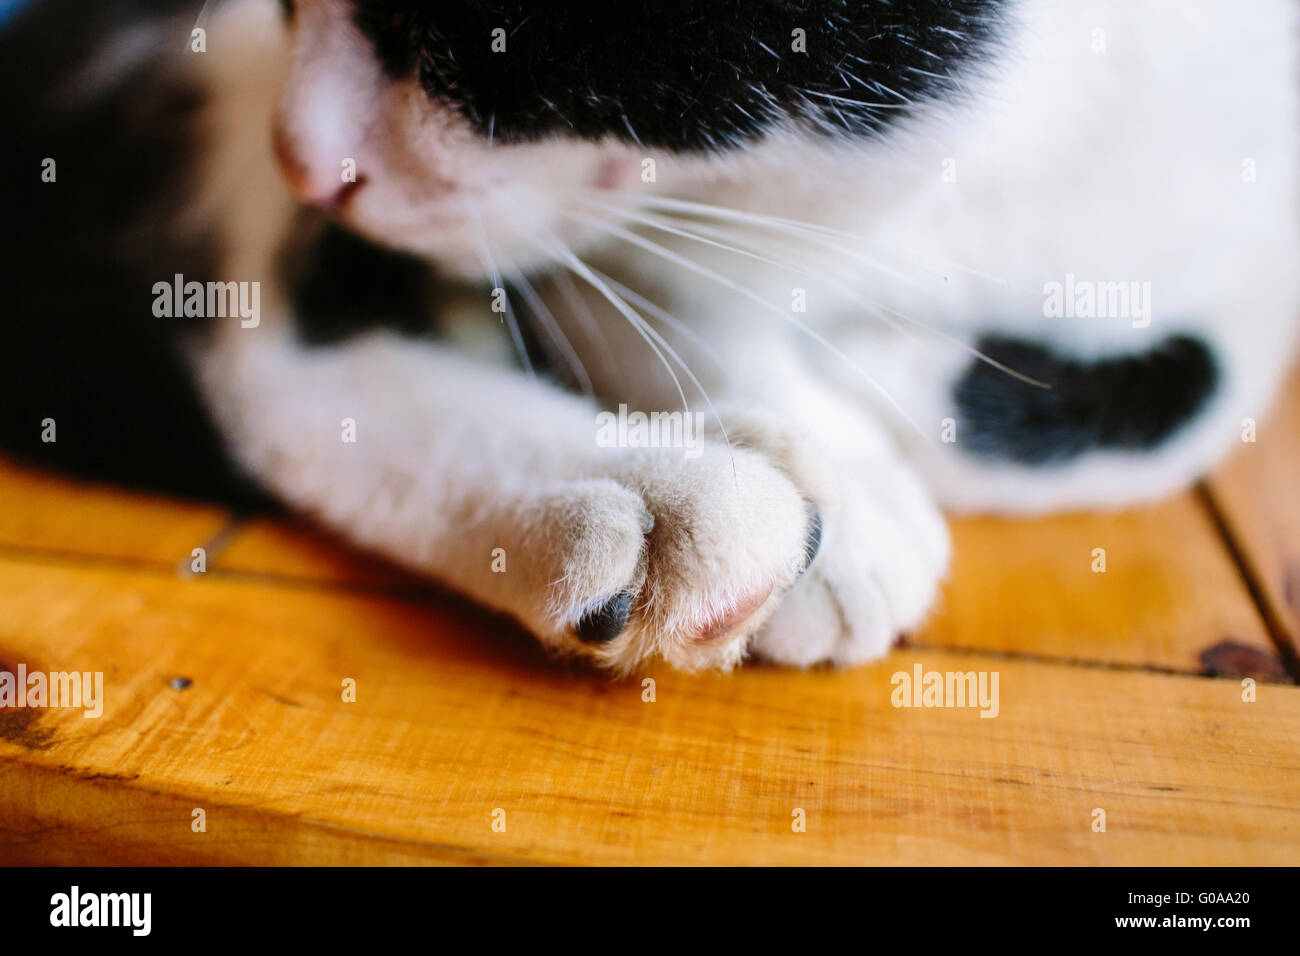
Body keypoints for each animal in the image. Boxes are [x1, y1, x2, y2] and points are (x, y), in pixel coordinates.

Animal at [0, 0, 1294, 671]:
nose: (304, 160)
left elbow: (1192, 389)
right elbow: (671, 291)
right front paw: (836, 463)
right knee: (270, 366)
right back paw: (644, 493)